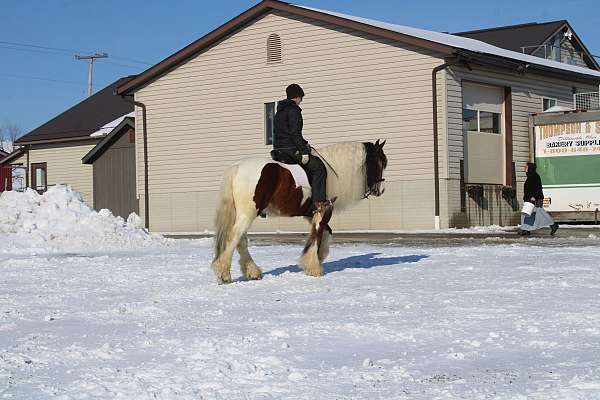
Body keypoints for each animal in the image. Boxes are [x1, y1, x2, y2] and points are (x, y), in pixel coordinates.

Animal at [211, 139, 390, 282]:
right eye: (382, 162)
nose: (381, 190)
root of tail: (236, 167)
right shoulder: (323, 210)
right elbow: (318, 233)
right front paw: (314, 266)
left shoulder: (311, 214)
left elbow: (326, 233)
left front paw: (318, 257)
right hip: (248, 213)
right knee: (234, 237)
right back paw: (224, 273)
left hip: (243, 214)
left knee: (240, 240)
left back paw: (252, 271)